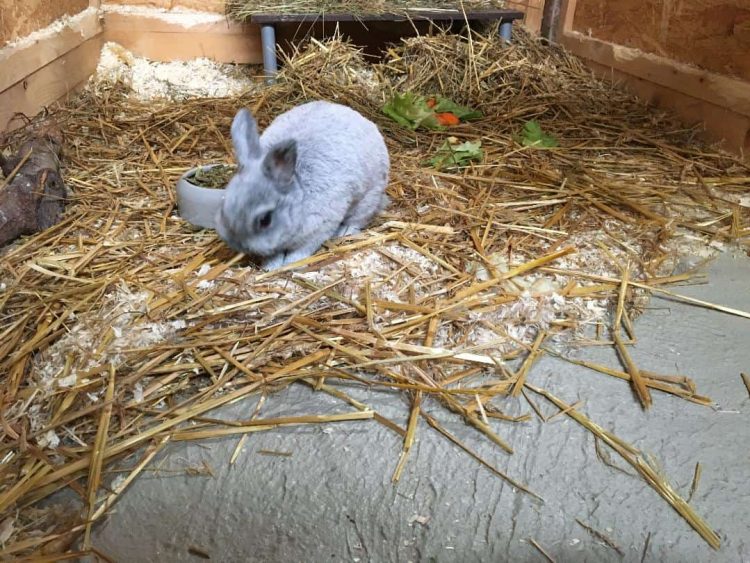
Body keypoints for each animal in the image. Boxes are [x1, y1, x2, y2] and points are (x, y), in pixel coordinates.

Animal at [215, 100, 390, 271]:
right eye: (223, 208)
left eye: (265, 220)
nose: (236, 244)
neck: (299, 194)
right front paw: (271, 266)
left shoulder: (319, 229)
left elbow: (302, 250)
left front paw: (290, 263)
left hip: (369, 196)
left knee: (359, 218)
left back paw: (345, 232)